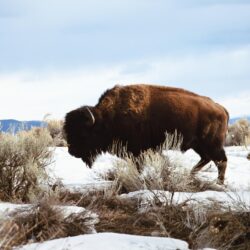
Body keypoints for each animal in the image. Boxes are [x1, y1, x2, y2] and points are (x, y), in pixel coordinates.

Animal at [64, 84, 229, 184]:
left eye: (83, 133)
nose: (71, 151)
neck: (106, 118)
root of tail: (221, 108)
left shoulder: (138, 152)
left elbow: (140, 167)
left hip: (211, 144)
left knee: (221, 161)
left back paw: (218, 183)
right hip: (199, 145)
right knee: (207, 159)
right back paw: (190, 175)